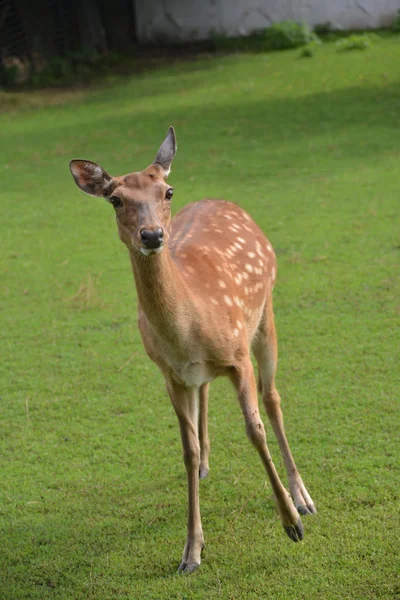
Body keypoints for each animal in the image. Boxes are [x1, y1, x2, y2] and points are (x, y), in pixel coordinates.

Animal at [70, 129, 318, 576]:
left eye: (167, 191)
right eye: (115, 199)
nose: (152, 235)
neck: (187, 330)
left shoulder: (237, 355)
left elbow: (255, 431)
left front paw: (291, 522)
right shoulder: (170, 375)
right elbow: (186, 451)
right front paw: (191, 551)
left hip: (264, 318)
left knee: (273, 399)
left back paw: (303, 497)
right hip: (201, 371)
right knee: (207, 392)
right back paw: (207, 466)